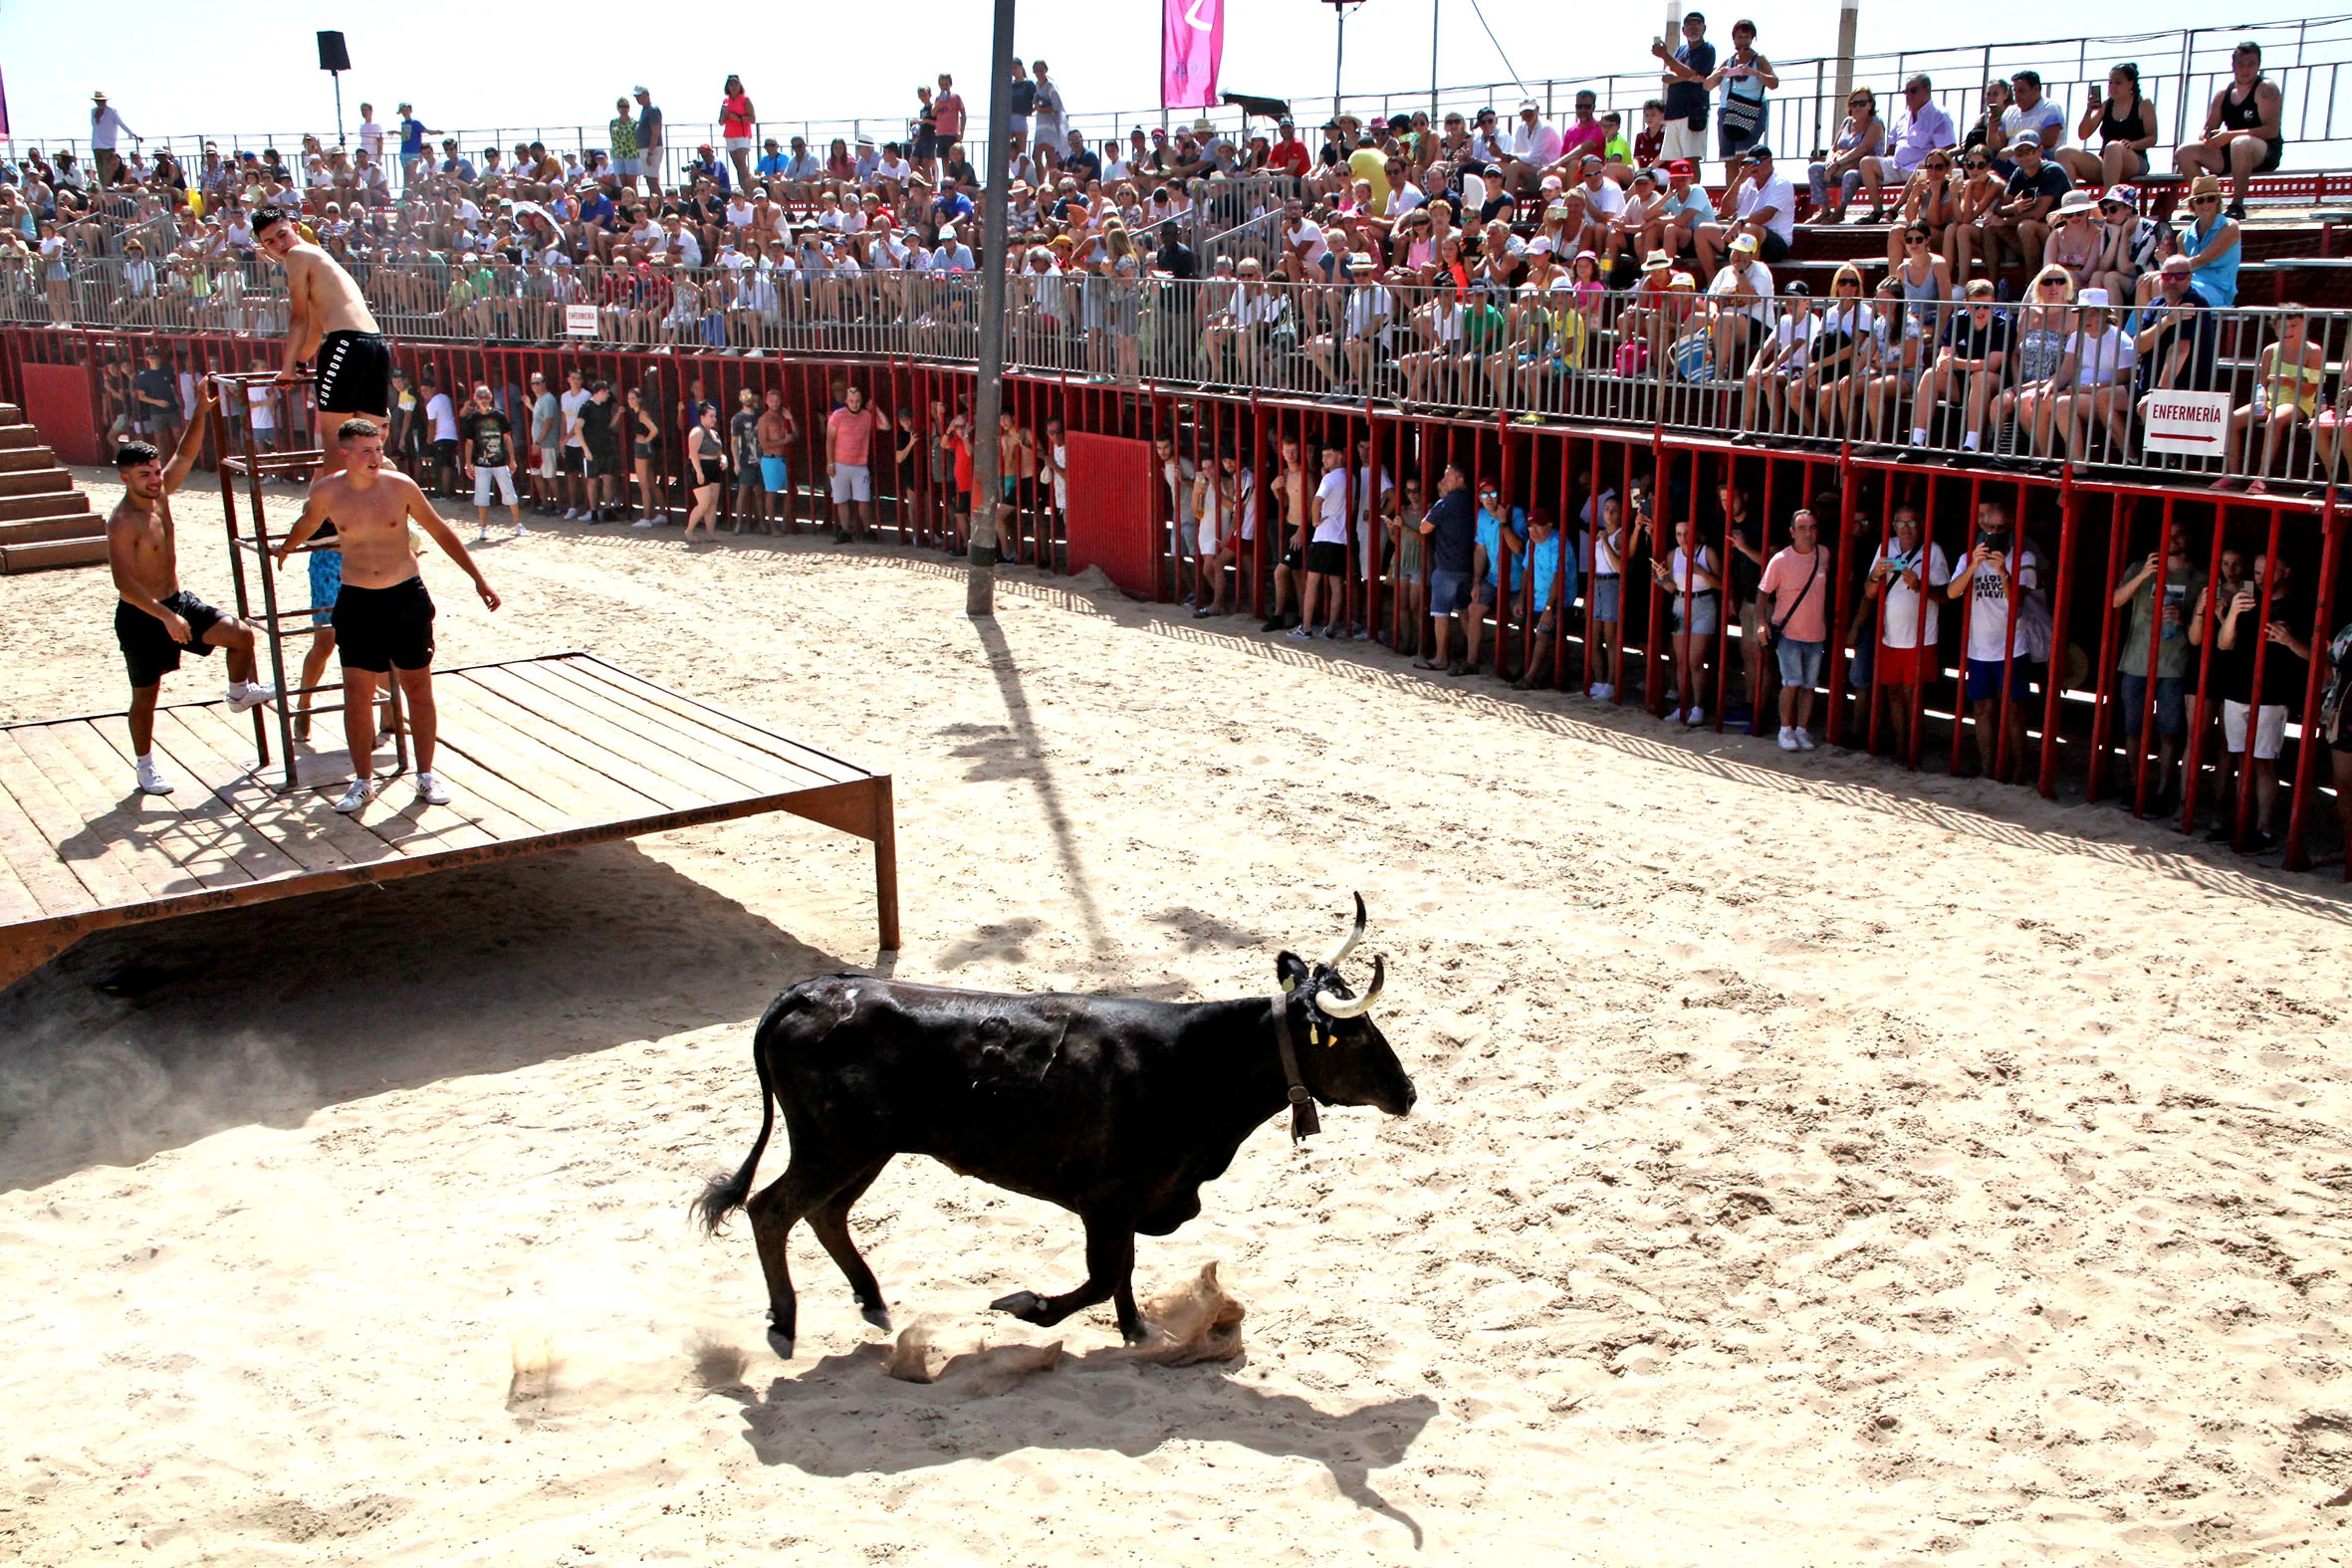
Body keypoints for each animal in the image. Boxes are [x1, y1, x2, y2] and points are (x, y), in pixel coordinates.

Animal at [686, 907, 1401, 1354]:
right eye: (1354, 1034)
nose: (1408, 1091)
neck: (1188, 1062)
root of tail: (806, 992)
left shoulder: (1126, 1204)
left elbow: (1120, 1273)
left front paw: (1135, 1329)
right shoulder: (1107, 1202)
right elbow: (1102, 1275)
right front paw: (1028, 1305)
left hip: (863, 1149)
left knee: (824, 1213)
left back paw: (871, 1299)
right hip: (834, 1144)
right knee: (771, 1208)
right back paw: (786, 1323)